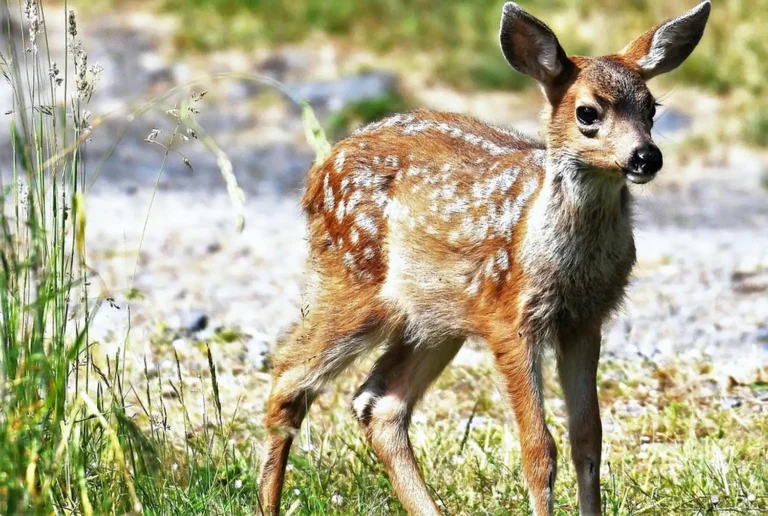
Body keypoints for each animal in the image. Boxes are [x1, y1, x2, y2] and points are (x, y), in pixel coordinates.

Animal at [258, 1, 711, 515]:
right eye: (587, 113)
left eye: (652, 108)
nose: (645, 157)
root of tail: (317, 173)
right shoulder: (510, 318)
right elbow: (539, 448)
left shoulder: (584, 320)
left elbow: (587, 439)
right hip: (354, 280)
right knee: (289, 375)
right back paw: (268, 502)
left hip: (435, 319)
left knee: (379, 404)